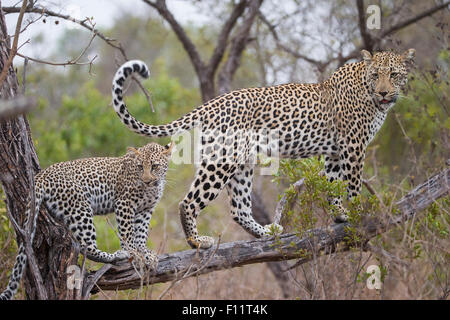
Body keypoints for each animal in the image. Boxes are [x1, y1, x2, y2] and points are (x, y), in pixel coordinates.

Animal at [111, 49, 414, 250]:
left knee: (239, 209)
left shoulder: (335, 152)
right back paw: (197, 241)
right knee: (189, 202)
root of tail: (211, 103)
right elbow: (352, 185)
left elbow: (333, 185)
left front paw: (339, 214)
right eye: (376, 75)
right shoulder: (353, 146)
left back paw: (266, 234)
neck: (368, 91)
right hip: (221, 161)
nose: (384, 92)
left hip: (242, 162)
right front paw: (359, 212)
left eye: (394, 75)